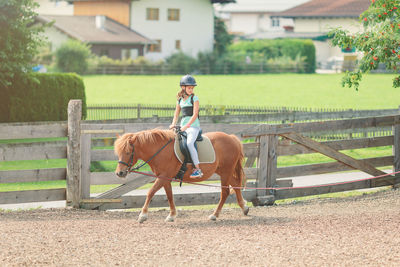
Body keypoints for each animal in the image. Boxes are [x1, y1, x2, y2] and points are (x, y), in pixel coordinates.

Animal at [114, 129, 248, 223]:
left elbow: (150, 192)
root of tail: (232, 138)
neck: (161, 150)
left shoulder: (163, 176)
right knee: (235, 185)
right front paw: (172, 215)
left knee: (225, 192)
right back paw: (244, 208)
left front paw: (143, 215)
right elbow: (169, 196)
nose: (119, 173)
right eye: (119, 153)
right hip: (223, 171)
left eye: (127, 152)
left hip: (226, 172)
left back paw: (215, 215)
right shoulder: (165, 178)